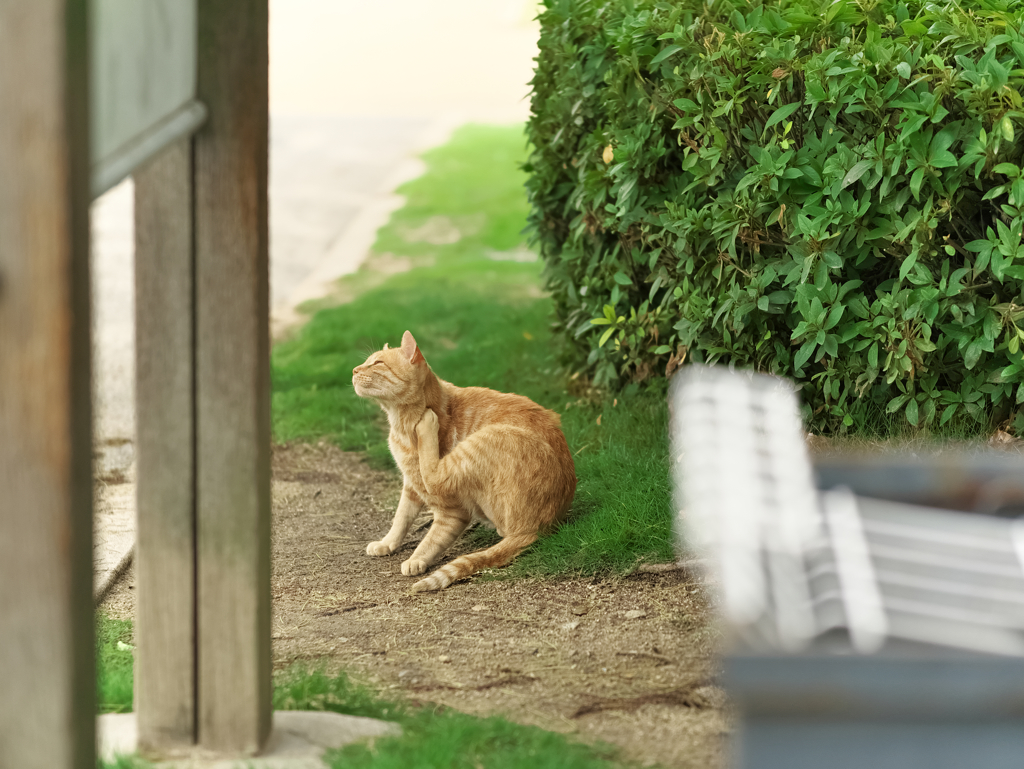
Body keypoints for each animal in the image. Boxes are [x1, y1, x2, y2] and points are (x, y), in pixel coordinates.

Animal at [352, 329, 577, 589]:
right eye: (367, 361)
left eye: (377, 363)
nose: (354, 370)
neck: (400, 425)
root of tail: (538, 527)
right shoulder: (411, 486)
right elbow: (401, 518)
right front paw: (387, 543)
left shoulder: (451, 510)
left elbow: (433, 537)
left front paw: (417, 559)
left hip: (480, 443)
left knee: (435, 475)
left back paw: (427, 425)